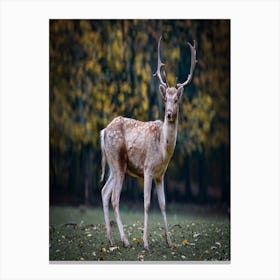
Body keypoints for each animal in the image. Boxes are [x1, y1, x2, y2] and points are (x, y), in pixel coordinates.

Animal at [100, 35, 197, 249]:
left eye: (176, 100)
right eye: (165, 99)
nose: (169, 114)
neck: (163, 150)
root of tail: (103, 132)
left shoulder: (161, 174)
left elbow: (163, 204)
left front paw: (170, 242)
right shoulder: (148, 168)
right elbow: (146, 204)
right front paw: (145, 242)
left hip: (112, 165)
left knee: (104, 191)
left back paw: (111, 240)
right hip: (118, 161)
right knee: (115, 198)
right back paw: (125, 240)